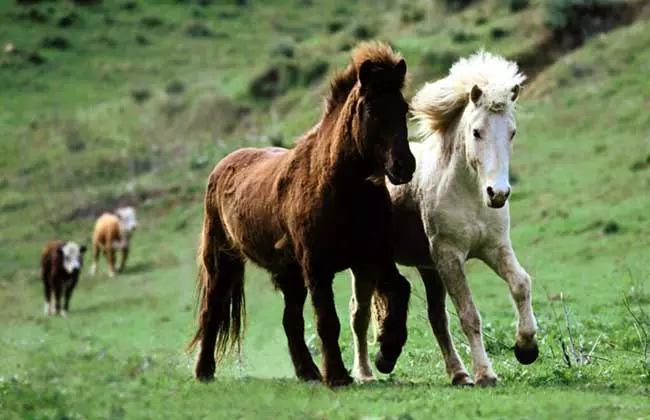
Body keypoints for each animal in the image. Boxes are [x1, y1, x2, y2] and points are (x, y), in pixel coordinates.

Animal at [185, 41, 412, 388]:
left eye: (404, 109)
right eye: (373, 110)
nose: (404, 166)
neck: (339, 188)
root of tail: (223, 165)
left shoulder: (373, 257)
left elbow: (400, 291)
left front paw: (386, 354)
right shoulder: (317, 267)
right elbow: (327, 321)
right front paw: (338, 376)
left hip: (289, 275)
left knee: (289, 320)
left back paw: (307, 372)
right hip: (222, 262)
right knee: (212, 311)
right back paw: (204, 371)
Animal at [350, 50, 536, 386]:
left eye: (512, 132)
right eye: (477, 131)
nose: (498, 193)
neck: (470, 194)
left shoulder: (495, 248)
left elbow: (521, 284)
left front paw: (526, 348)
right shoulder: (450, 256)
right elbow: (469, 314)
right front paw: (486, 374)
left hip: (428, 268)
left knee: (436, 317)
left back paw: (458, 373)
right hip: (366, 265)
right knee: (359, 314)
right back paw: (365, 373)